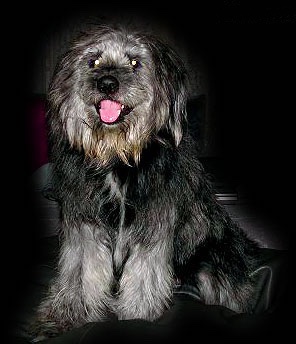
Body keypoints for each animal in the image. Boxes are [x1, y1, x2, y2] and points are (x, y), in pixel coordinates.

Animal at [31, 24, 260, 342]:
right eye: (94, 61)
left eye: (135, 62)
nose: (107, 83)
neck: (117, 156)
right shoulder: (85, 226)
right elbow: (79, 276)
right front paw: (63, 319)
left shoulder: (153, 227)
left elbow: (142, 281)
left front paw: (135, 321)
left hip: (213, 264)